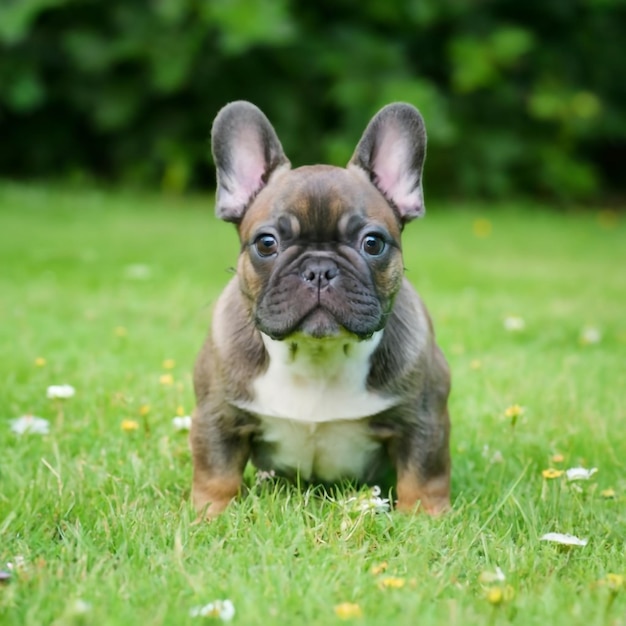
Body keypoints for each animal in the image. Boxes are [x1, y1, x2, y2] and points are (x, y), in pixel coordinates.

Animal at [190, 101, 448, 516]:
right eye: (266, 243)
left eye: (373, 243)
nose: (319, 270)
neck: (317, 354)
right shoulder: (218, 415)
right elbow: (216, 473)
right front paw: (210, 515)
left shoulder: (424, 417)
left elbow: (424, 475)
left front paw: (426, 518)